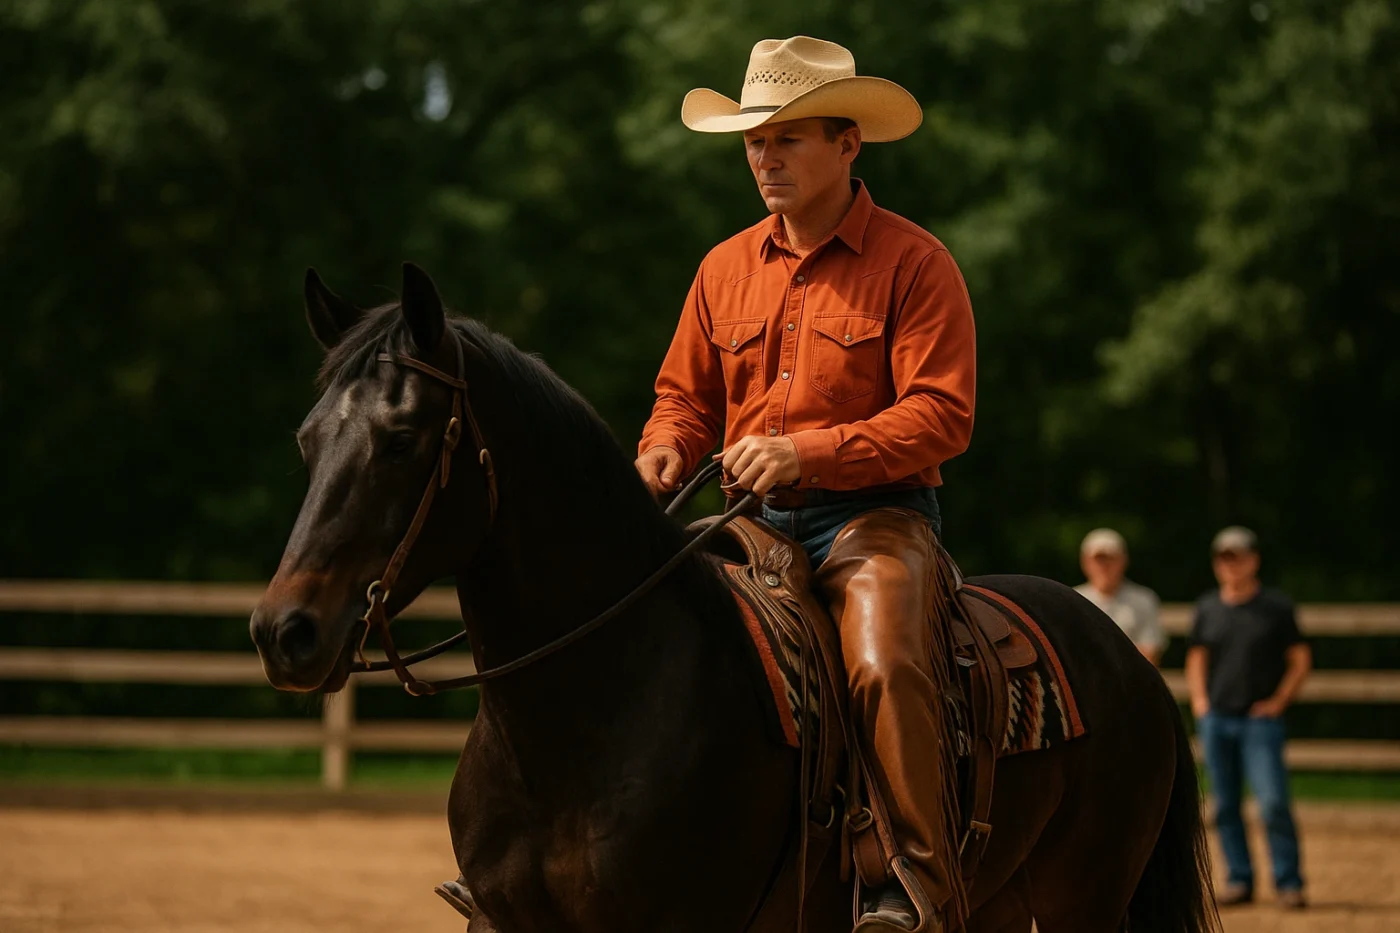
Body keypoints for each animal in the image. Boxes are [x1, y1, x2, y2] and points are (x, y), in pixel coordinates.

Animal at [249, 263, 1218, 933]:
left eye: (403, 436)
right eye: (304, 439)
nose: (283, 630)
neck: (589, 716)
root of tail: (1126, 656)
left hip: (1082, 897)